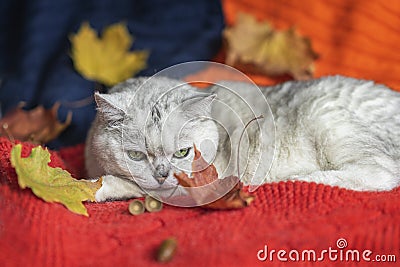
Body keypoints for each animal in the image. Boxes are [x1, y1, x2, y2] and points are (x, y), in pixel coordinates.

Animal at [86, 74, 400, 202]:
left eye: (182, 153)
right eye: (135, 155)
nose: (162, 175)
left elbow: (124, 184)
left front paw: (96, 188)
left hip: (328, 116)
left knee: (380, 175)